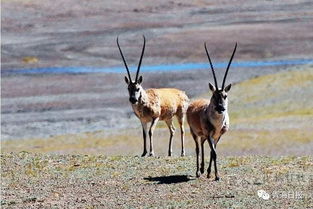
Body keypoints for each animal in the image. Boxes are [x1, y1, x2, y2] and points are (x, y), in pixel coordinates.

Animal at [185, 42, 236, 180]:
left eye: (225, 96)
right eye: (214, 95)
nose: (221, 108)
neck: (217, 123)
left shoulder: (217, 136)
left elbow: (213, 152)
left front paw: (210, 173)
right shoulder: (209, 135)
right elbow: (214, 152)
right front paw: (216, 176)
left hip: (204, 135)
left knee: (202, 145)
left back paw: (203, 170)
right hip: (194, 132)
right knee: (197, 148)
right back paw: (198, 171)